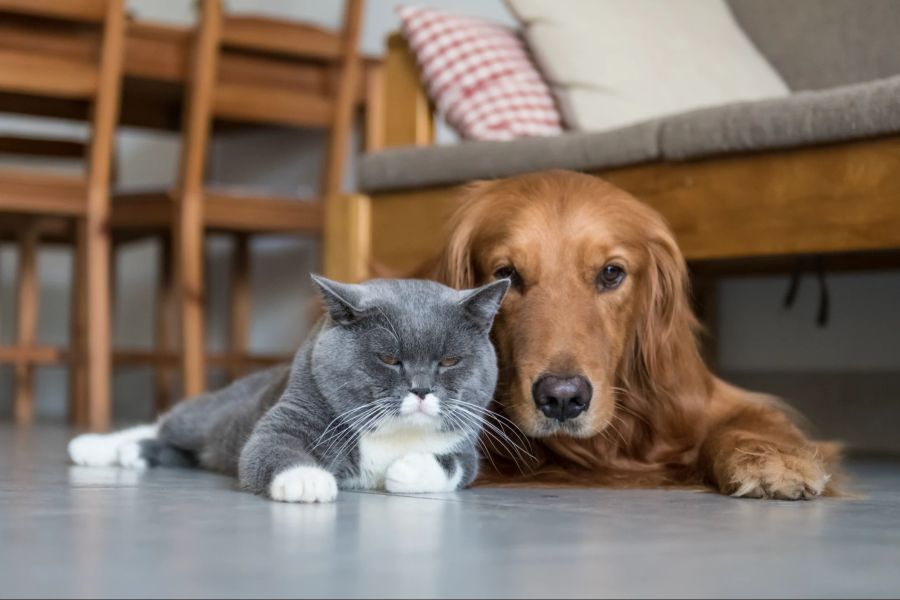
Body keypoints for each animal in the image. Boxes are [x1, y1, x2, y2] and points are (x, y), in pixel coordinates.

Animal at [67, 276, 510, 502]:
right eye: (389, 359)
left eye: (449, 361)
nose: (421, 389)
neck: (394, 434)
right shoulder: (289, 415)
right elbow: (271, 446)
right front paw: (307, 481)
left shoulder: (466, 446)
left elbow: (457, 466)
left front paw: (409, 468)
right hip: (215, 415)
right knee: (169, 423)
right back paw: (94, 446)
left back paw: (134, 453)